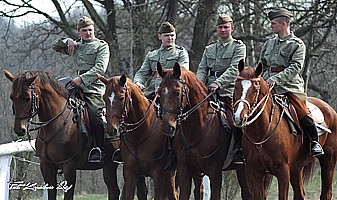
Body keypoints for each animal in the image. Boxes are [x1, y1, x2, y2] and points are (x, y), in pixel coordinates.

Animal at [2, 70, 147, 200]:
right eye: (11, 97)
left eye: (27, 98)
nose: (19, 129)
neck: (55, 124)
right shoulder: (47, 168)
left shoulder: (69, 168)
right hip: (109, 165)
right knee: (114, 191)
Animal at [232, 59, 336, 200]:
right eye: (236, 87)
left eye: (255, 89)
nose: (238, 117)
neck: (263, 132)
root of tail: (330, 109)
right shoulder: (255, 173)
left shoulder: (283, 172)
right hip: (296, 168)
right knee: (300, 193)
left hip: (328, 161)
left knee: (326, 192)